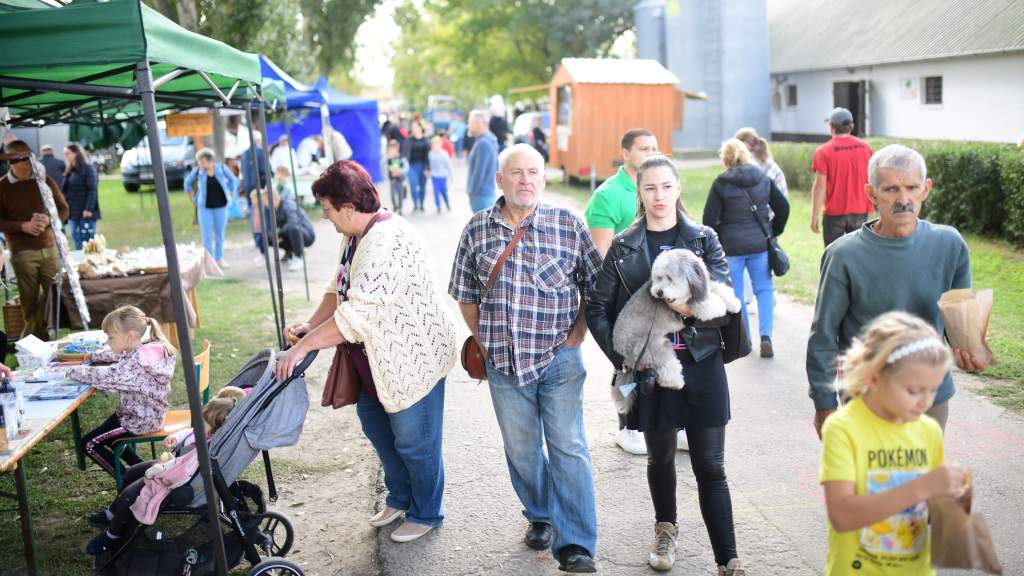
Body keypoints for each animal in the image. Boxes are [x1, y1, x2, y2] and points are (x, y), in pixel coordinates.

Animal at [610, 249, 741, 409]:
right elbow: (708, 303)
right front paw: (721, 305)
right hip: (651, 347)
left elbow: (716, 288)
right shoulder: (688, 304)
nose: (659, 292)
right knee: (665, 366)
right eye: (658, 278)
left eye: (669, 278)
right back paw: (675, 382)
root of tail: (618, 348)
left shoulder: (701, 286)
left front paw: (733, 302)